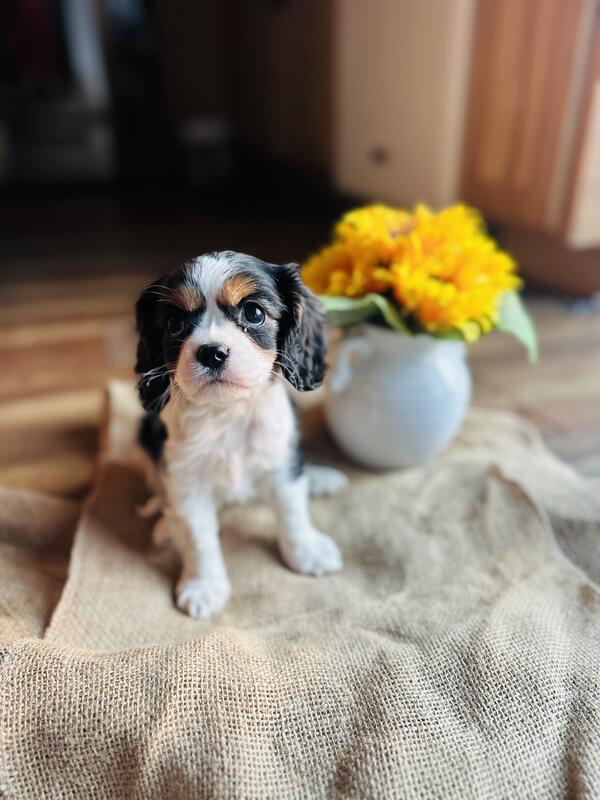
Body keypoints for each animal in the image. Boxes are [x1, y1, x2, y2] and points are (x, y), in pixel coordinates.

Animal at [135, 251, 346, 618]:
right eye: (175, 324)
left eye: (254, 313)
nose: (212, 352)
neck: (228, 412)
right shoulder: (186, 480)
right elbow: (198, 538)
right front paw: (204, 587)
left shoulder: (280, 459)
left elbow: (293, 510)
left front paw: (307, 552)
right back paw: (164, 523)